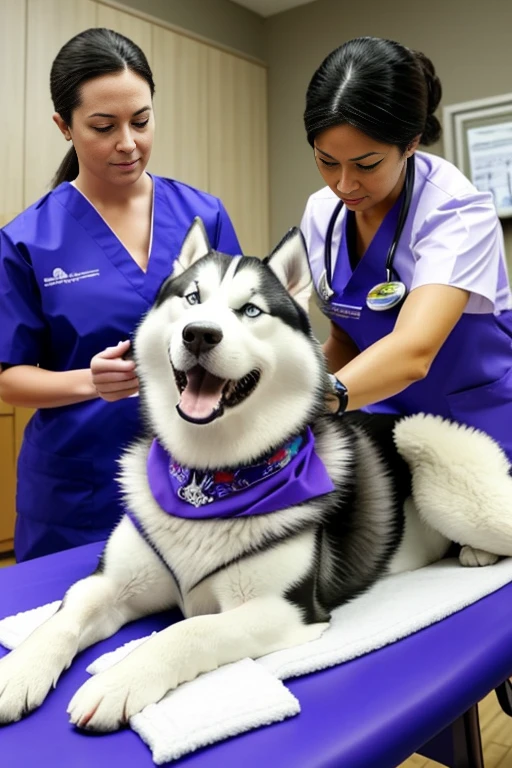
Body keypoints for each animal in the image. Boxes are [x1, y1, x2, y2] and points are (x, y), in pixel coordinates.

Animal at [1, 219, 512, 728]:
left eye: (250, 311)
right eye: (192, 299)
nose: (199, 334)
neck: (210, 475)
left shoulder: (282, 611)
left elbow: (188, 631)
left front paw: (119, 680)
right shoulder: (108, 584)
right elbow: (60, 619)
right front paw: (18, 671)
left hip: (427, 448)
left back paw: (478, 552)